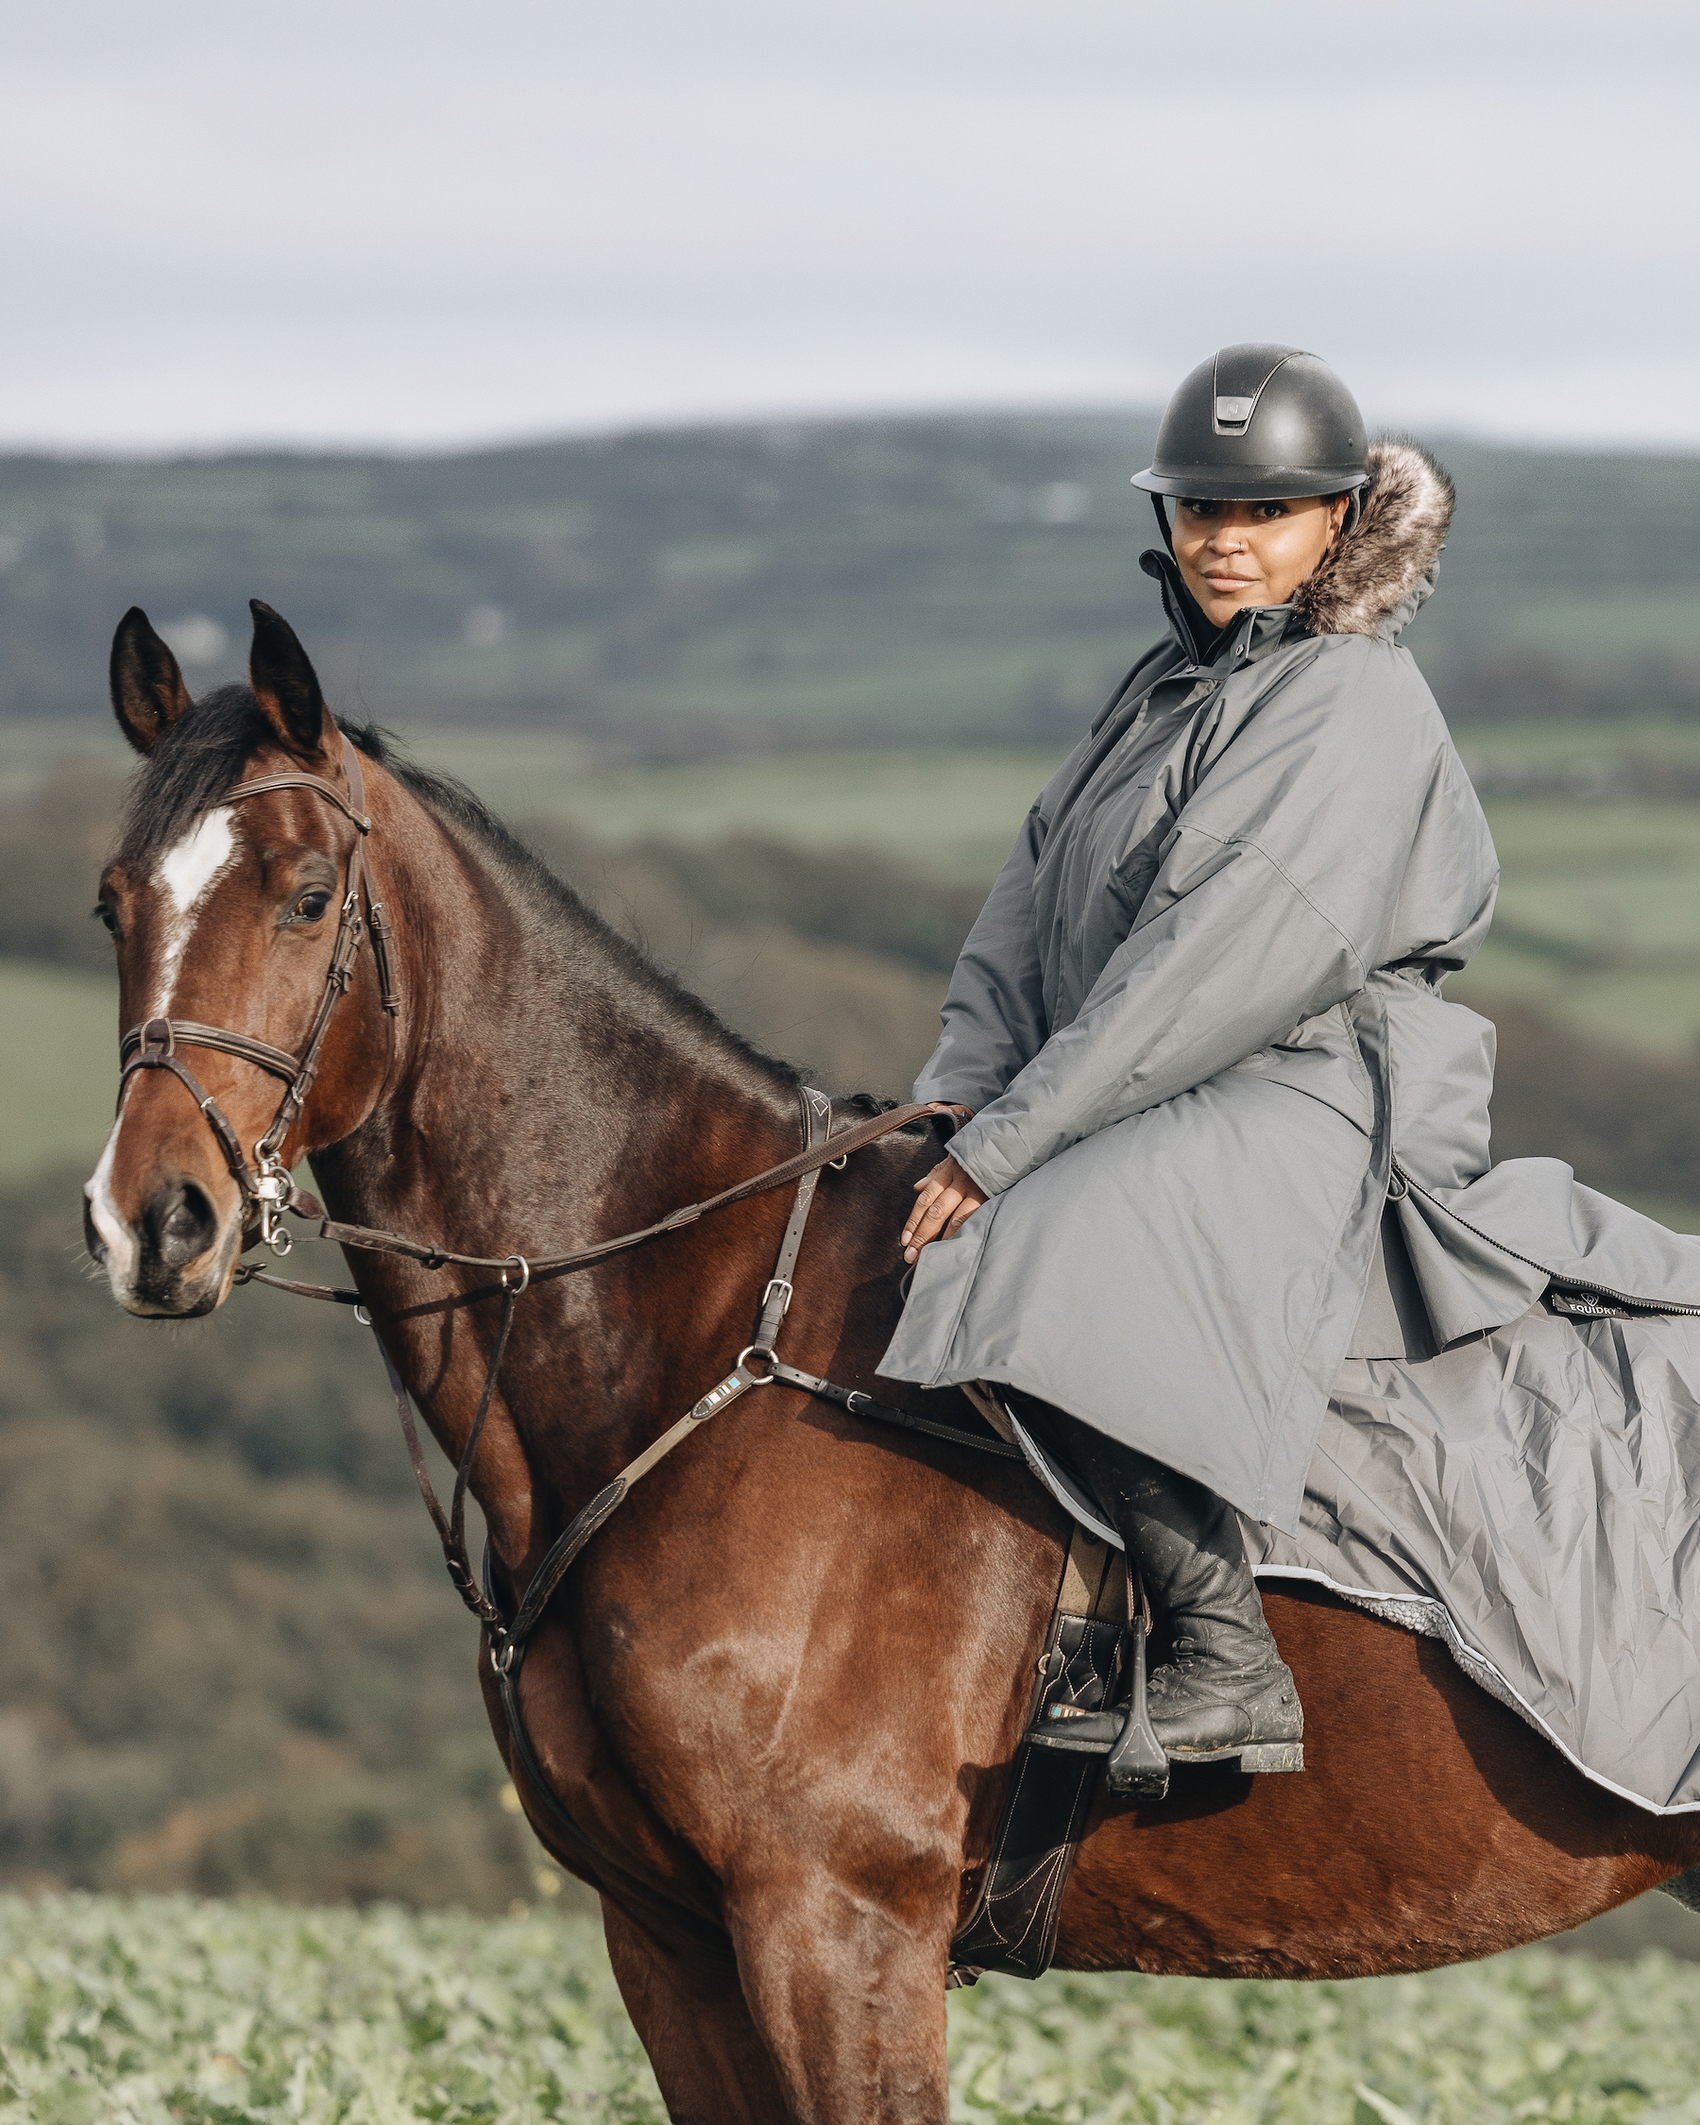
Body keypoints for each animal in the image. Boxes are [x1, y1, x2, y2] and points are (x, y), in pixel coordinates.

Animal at [82, 595, 1700, 2125]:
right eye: (111, 904)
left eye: (305, 899)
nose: (149, 1224)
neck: (699, 1338)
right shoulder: (668, 1939)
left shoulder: (836, 1925)